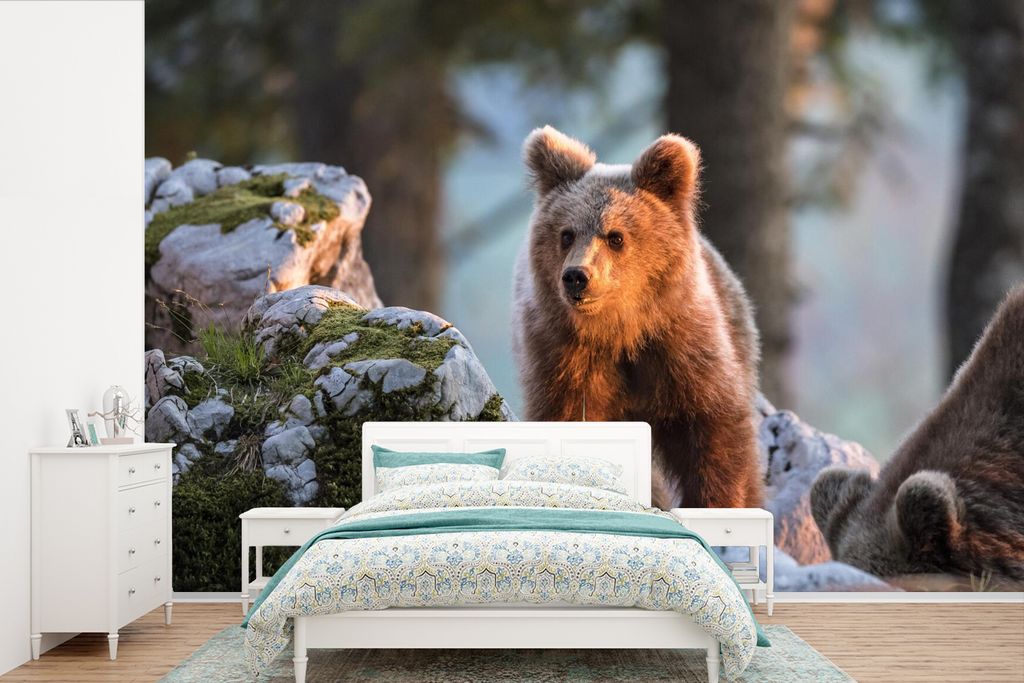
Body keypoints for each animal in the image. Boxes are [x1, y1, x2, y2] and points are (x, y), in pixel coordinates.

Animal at [511, 126, 763, 509]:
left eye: (615, 237)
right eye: (566, 234)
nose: (576, 276)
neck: (622, 330)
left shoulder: (683, 348)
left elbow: (715, 432)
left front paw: (720, 502)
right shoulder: (564, 360)